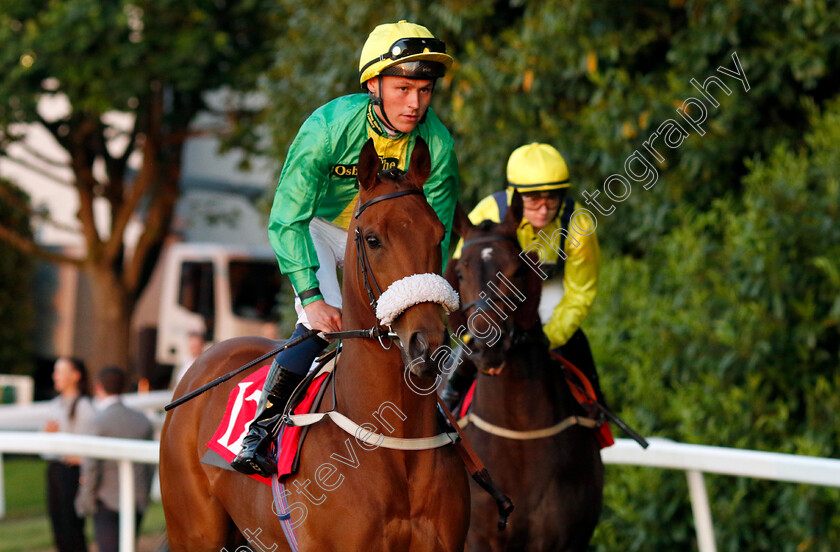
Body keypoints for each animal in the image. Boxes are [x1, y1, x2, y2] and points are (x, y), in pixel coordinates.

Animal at [446, 196, 604, 548]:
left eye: (518, 270)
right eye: (460, 272)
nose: (485, 346)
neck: (519, 435)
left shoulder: (565, 540)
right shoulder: (478, 540)